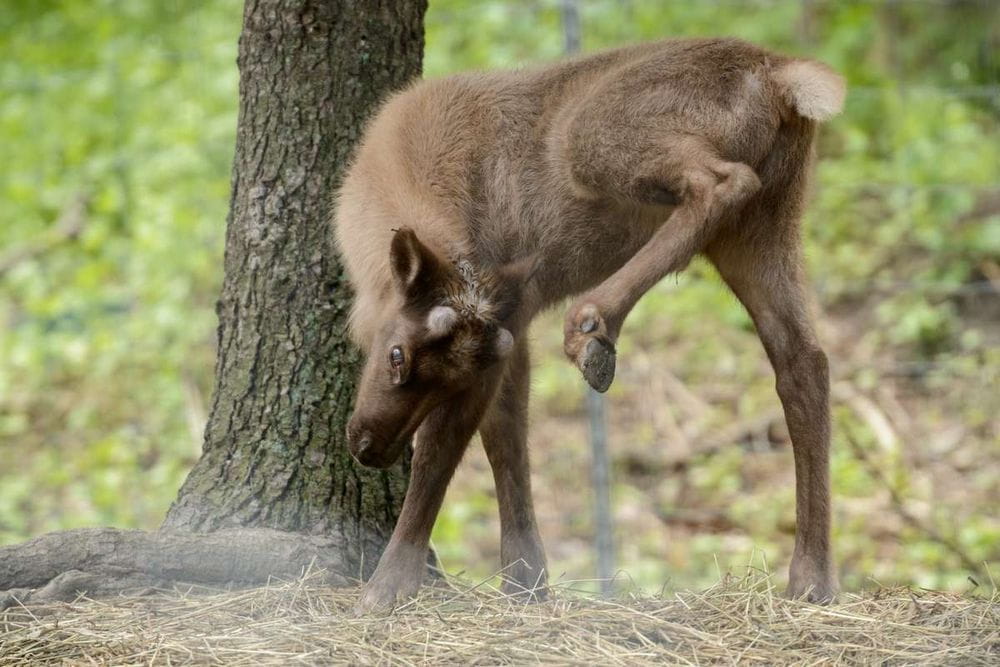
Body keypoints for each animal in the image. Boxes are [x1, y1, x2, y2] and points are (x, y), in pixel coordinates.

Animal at [336, 37, 844, 616]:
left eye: (395, 353)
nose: (370, 448)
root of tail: (778, 73)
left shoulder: (501, 329)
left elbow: (443, 454)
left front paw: (387, 587)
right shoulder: (510, 327)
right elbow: (507, 438)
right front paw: (526, 581)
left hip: (596, 141)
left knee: (723, 181)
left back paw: (592, 323)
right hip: (765, 227)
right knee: (804, 362)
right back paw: (812, 578)